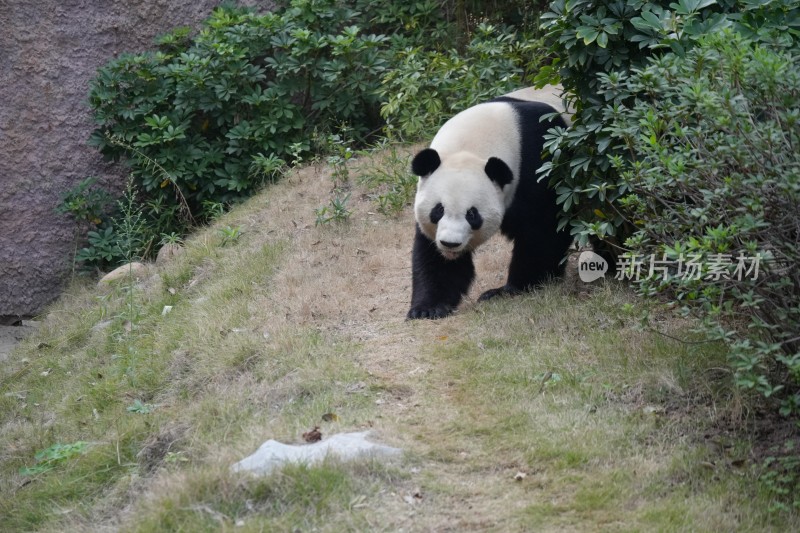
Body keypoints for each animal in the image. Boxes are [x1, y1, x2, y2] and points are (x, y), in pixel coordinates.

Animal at [406, 85, 576, 318]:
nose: (450, 244)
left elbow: (544, 231)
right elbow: (433, 255)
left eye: (472, 214)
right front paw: (428, 308)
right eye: (438, 211)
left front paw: (509, 289)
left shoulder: (542, 162)